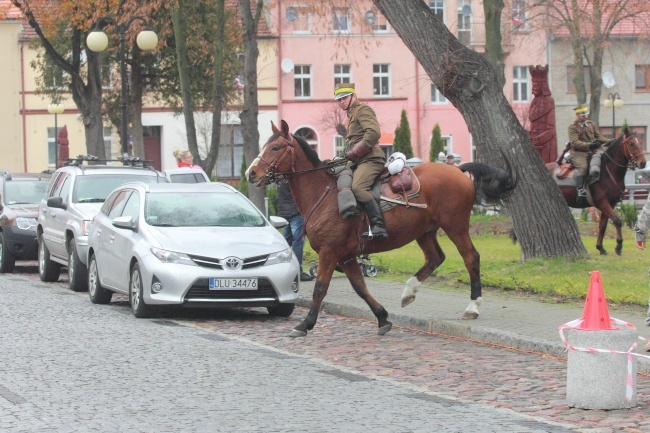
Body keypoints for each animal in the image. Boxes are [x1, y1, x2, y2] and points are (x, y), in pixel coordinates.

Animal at [246, 121, 512, 338]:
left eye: (276, 147)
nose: (251, 173)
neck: (324, 193)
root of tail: (457, 169)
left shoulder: (330, 253)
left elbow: (320, 289)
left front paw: (305, 324)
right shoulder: (346, 256)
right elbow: (360, 287)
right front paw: (383, 318)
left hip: (455, 227)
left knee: (470, 258)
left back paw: (473, 306)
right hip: (424, 231)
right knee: (436, 258)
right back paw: (409, 291)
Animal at [544, 125, 644, 253]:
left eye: (640, 142)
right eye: (631, 144)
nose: (643, 163)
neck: (607, 171)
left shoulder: (610, 203)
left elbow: (602, 226)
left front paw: (600, 247)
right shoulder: (602, 202)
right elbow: (617, 220)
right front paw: (619, 245)